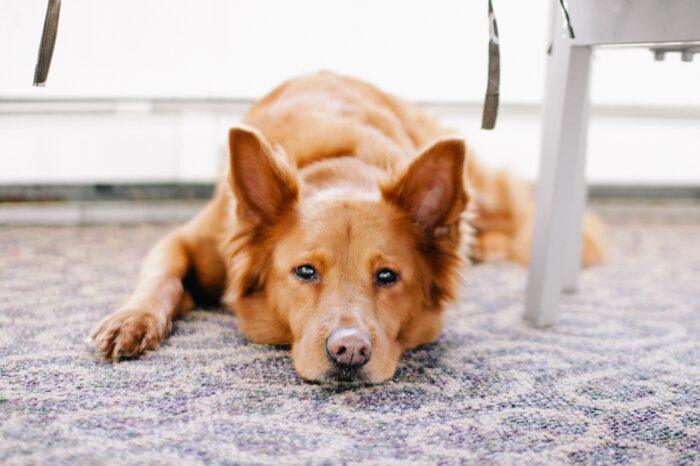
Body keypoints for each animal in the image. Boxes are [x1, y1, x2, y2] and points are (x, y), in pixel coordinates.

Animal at [91, 72, 608, 382]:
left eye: (387, 276)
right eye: (305, 272)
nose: (350, 351)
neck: (338, 167)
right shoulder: (190, 239)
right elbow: (162, 277)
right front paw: (131, 320)